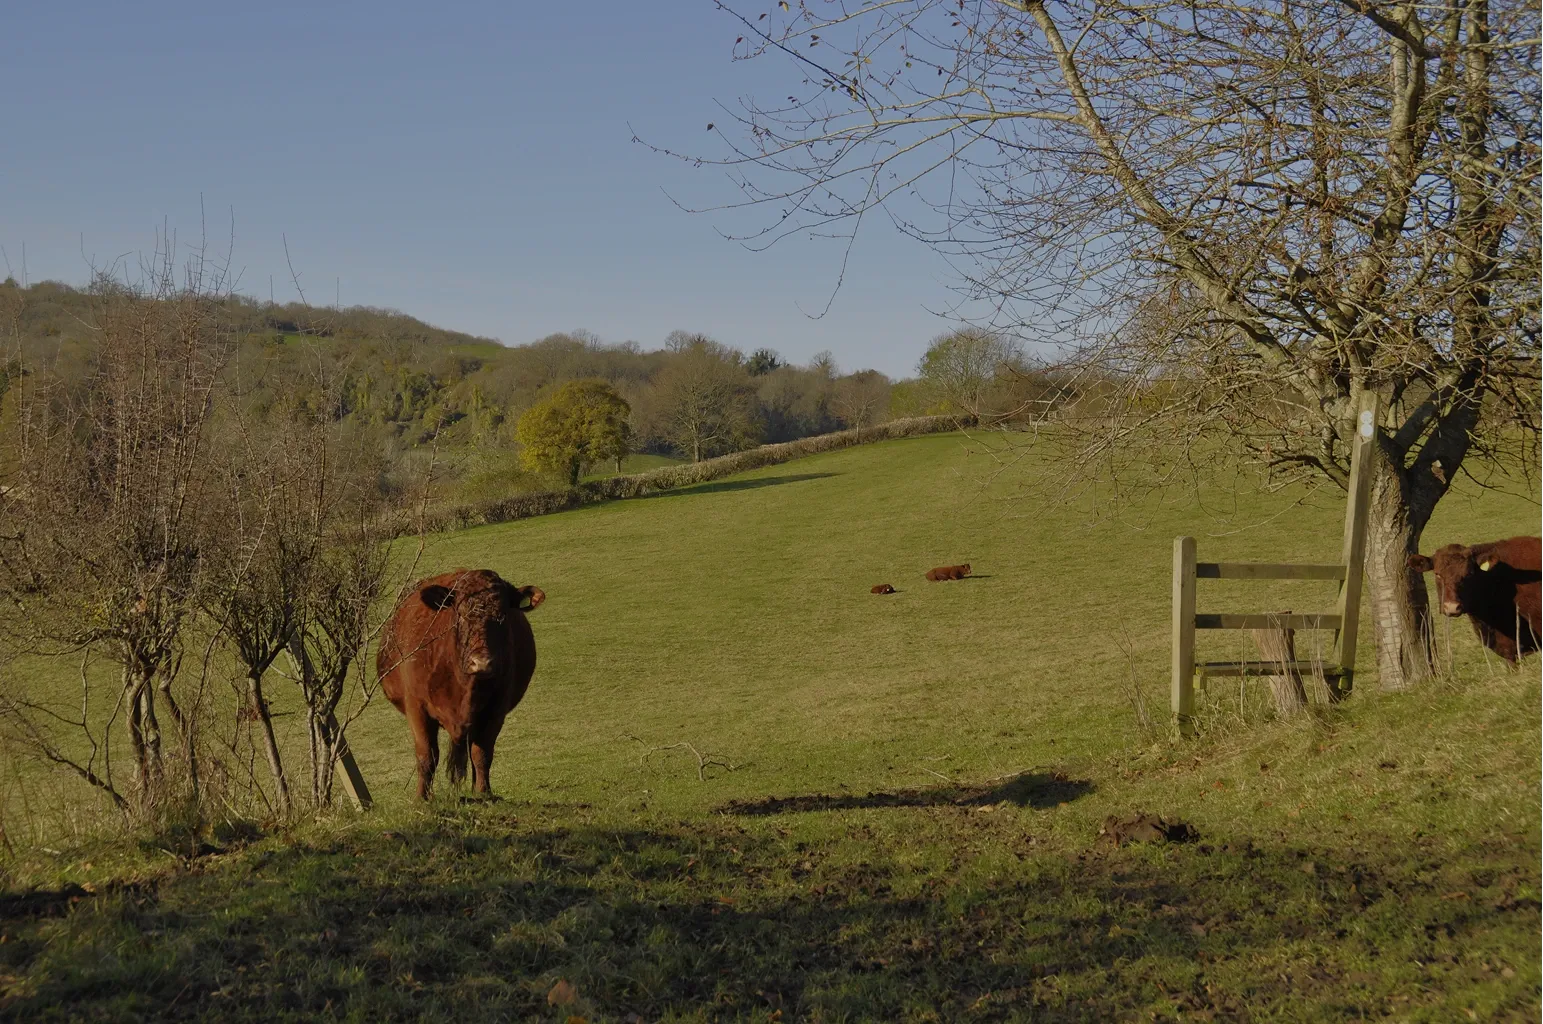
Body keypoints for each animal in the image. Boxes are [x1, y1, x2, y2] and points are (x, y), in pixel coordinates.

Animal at [378, 568, 544, 800]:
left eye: (503, 616)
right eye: (461, 615)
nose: (481, 662)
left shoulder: (496, 709)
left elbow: (482, 753)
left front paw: (484, 793)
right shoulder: (416, 707)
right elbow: (427, 755)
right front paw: (422, 798)